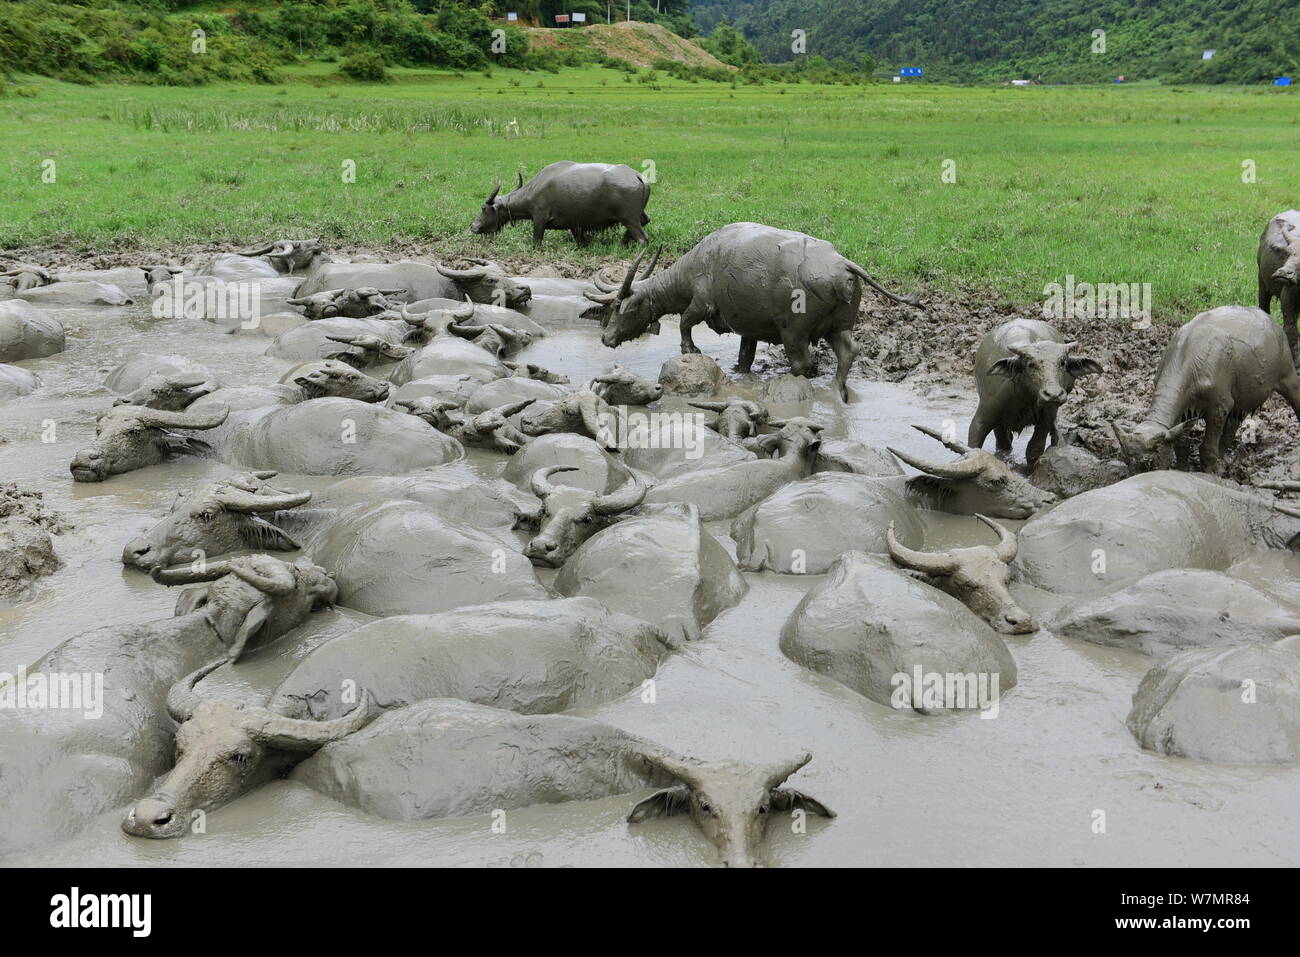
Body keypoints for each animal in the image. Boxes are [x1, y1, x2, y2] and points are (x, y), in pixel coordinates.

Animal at [467, 161, 650, 244]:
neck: (535, 188)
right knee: (646, 220)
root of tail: (637, 176)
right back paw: (624, 241)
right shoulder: (576, 226)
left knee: (643, 237)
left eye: (483, 208)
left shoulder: (539, 219)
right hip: (637, 216)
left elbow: (536, 241)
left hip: (629, 219)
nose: (473, 227)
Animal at [587, 223, 915, 400]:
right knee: (848, 352)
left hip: (793, 331)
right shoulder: (749, 330)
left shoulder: (702, 303)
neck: (701, 263)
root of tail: (843, 263)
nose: (605, 339)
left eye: (619, 308)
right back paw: (836, 388)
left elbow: (684, 322)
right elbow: (745, 356)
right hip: (839, 326)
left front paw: (690, 349)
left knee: (802, 363)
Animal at [972, 317, 1102, 468]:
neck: (1024, 396)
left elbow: (1034, 449)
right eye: (1031, 364)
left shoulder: (1048, 414)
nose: (1053, 394)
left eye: (1062, 363)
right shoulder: (985, 415)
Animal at [1107, 304, 1300, 473]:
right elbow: (1181, 445)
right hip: (1242, 398)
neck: (1192, 361)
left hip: (1288, 374)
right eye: (1126, 460)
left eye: (1149, 463)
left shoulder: (1220, 406)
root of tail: (1271, 322)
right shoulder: (1184, 408)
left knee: (1295, 396)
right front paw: (1182, 469)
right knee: (1232, 426)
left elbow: (1207, 449)